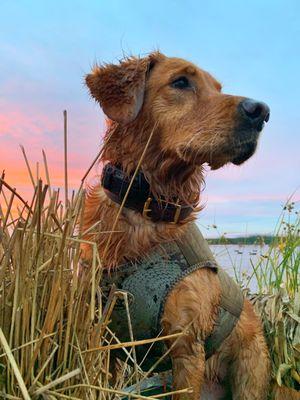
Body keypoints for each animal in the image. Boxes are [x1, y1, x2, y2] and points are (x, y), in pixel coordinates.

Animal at [82, 51, 272, 398]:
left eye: (217, 88)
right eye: (181, 82)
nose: (261, 111)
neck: (148, 209)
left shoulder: (186, 347)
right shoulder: (103, 339)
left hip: (250, 372)